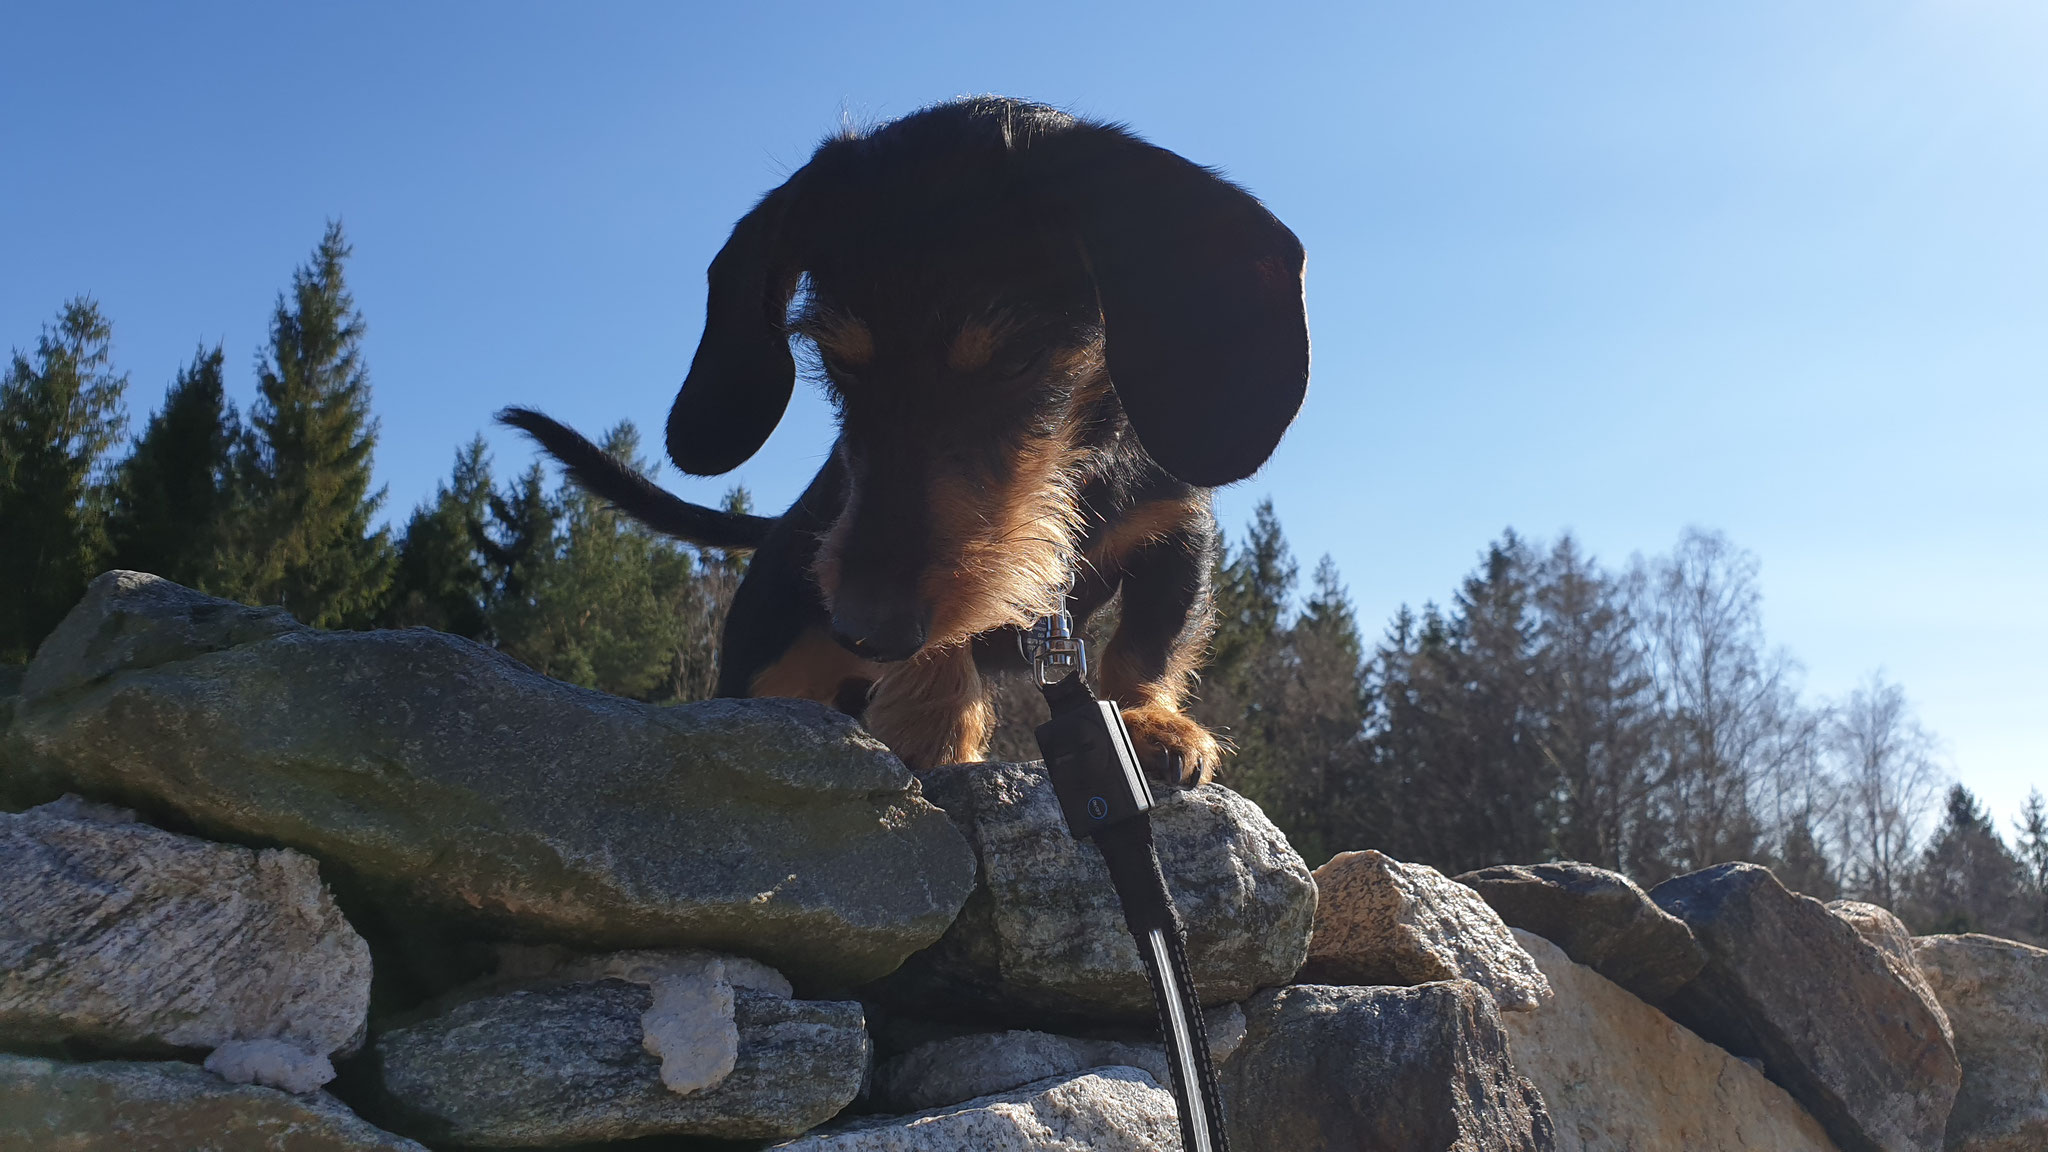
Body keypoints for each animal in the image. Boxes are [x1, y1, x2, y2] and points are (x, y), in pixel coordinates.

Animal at [512, 96, 1310, 778]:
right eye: (837, 360)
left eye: (1017, 359)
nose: (864, 627)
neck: (1077, 479)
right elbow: (942, 648)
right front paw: (935, 730)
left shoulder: (1178, 533)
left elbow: (1151, 642)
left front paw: (1149, 722)